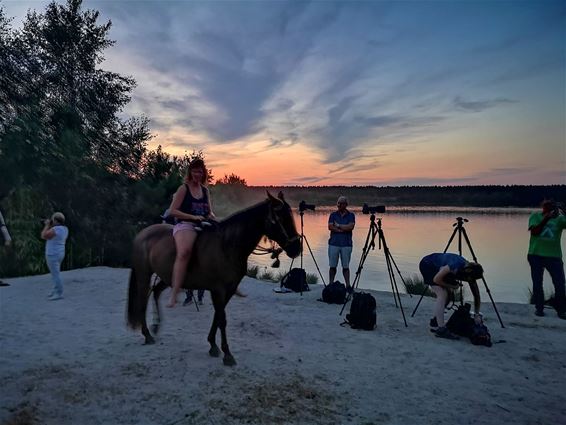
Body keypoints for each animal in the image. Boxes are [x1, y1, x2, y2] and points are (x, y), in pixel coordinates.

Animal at [127, 192, 304, 364]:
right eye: (281, 218)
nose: (297, 248)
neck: (227, 245)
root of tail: (143, 233)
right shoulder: (218, 290)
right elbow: (222, 319)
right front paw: (227, 354)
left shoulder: (229, 290)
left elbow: (218, 316)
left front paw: (212, 345)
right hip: (144, 275)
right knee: (142, 301)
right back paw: (147, 334)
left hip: (167, 277)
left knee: (156, 292)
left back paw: (156, 325)